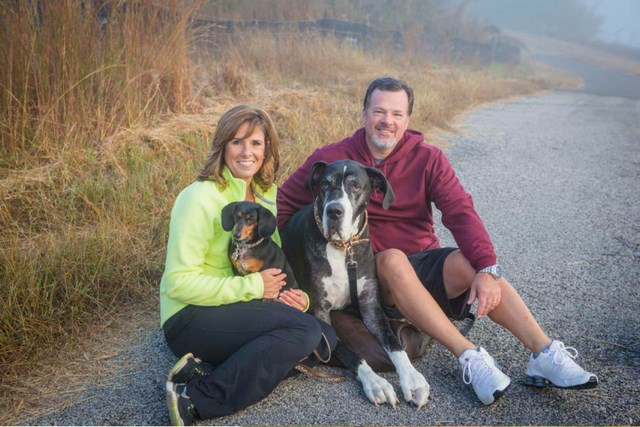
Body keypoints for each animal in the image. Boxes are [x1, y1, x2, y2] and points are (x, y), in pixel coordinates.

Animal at [282, 160, 428, 408]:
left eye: (356, 186)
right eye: (324, 184)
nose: (334, 211)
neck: (343, 247)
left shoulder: (371, 308)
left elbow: (395, 344)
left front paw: (412, 378)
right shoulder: (321, 315)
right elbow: (353, 354)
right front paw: (376, 383)